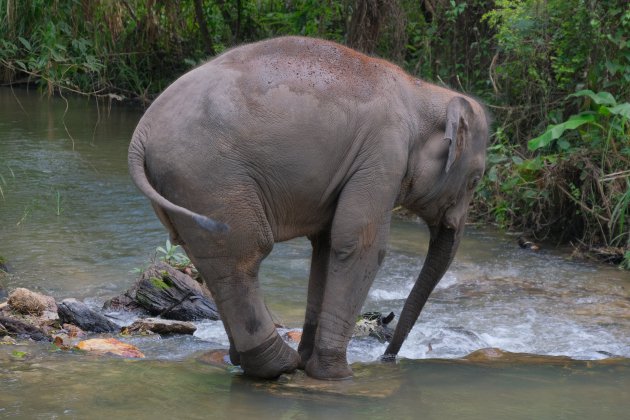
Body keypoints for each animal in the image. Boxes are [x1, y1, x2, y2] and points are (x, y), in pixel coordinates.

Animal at [128, 37, 492, 380]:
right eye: (475, 180)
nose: (387, 358)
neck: (422, 92)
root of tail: (139, 135)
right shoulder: (382, 154)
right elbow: (360, 245)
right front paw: (337, 374)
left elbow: (327, 246)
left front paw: (311, 363)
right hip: (211, 176)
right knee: (242, 255)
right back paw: (277, 365)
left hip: (183, 190)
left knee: (207, 256)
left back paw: (250, 360)